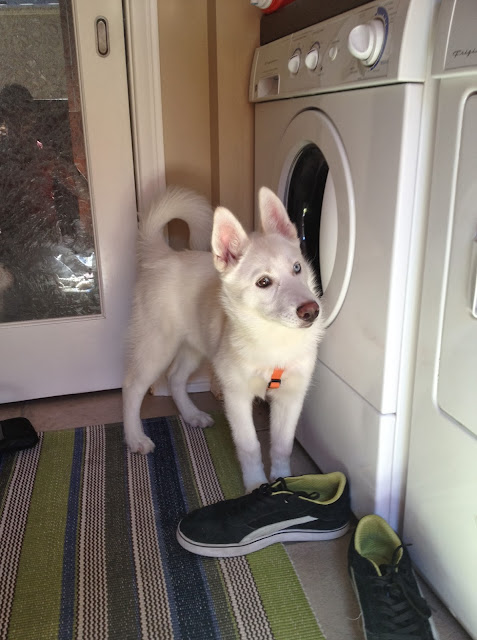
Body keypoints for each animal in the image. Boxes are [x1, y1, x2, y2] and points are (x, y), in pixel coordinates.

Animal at [122, 185, 324, 490]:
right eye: (264, 282)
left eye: (297, 268)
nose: (311, 311)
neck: (273, 338)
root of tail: (163, 256)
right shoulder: (236, 395)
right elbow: (250, 446)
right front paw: (256, 485)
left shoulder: (291, 395)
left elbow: (282, 445)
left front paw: (282, 480)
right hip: (156, 346)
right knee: (132, 387)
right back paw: (135, 438)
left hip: (194, 347)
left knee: (176, 378)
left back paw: (192, 415)